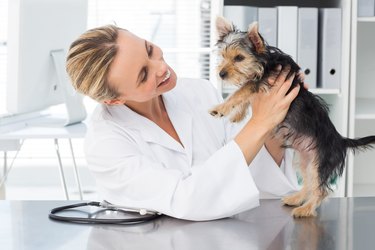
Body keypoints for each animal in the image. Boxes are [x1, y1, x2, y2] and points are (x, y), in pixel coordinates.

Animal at [212, 16, 375, 218]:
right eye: (224, 56)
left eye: (239, 58)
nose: (221, 74)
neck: (264, 62)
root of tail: (340, 140)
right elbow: (245, 94)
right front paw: (238, 116)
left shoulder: (262, 81)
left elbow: (242, 90)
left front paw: (221, 108)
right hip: (306, 159)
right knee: (309, 182)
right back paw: (297, 198)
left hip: (321, 161)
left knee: (320, 189)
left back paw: (306, 208)